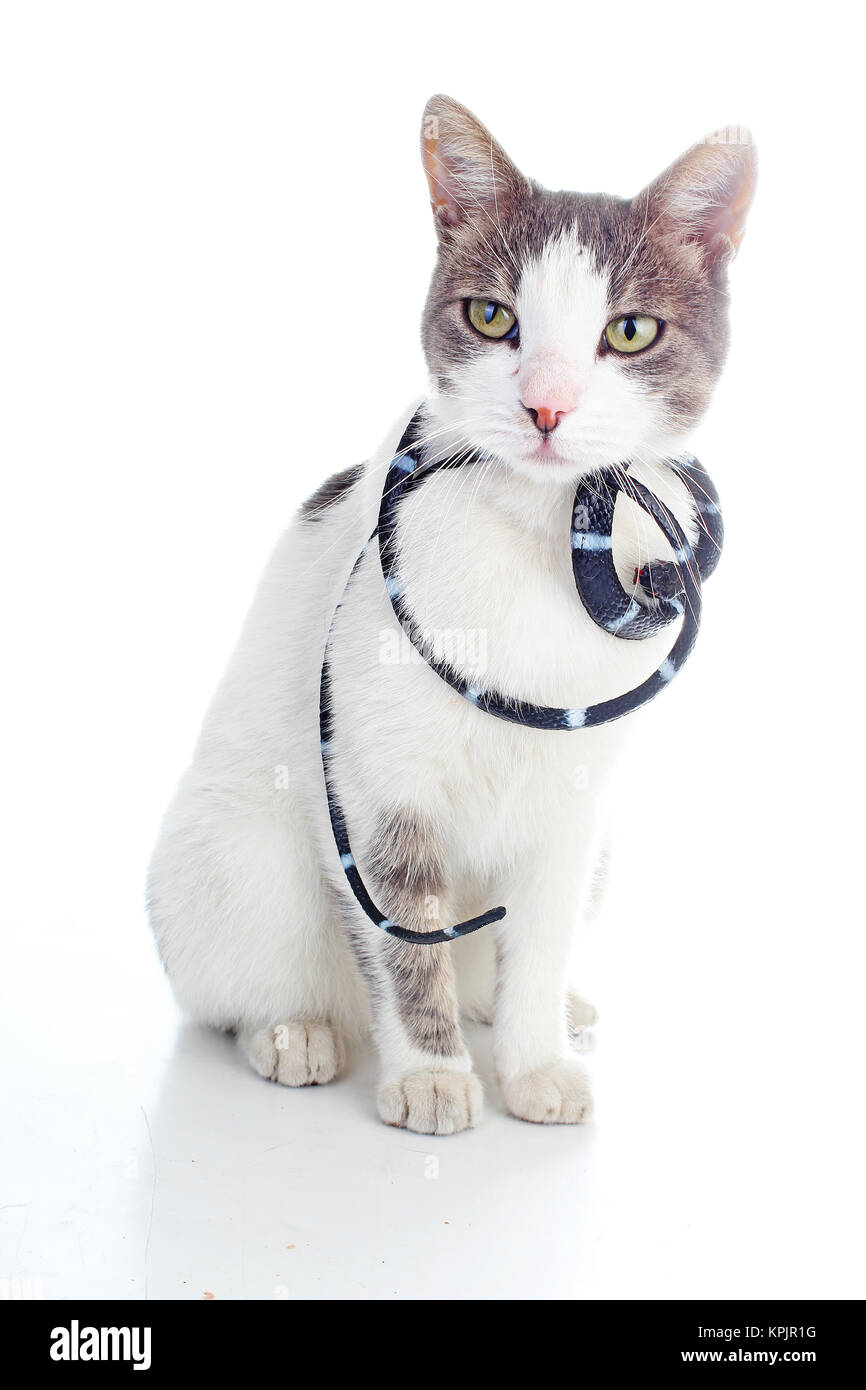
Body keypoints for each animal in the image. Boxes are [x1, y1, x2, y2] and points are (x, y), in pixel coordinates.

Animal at [145, 100, 756, 1139]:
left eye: (630, 331)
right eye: (493, 317)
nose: (546, 405)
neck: (545, 538)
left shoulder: (574, 805)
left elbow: (539, 938)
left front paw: (535, 1060)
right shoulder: (375, 787)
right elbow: (405, 938)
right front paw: (430, 1075)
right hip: (238, 853)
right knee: (239, 990)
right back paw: (296, 1032)